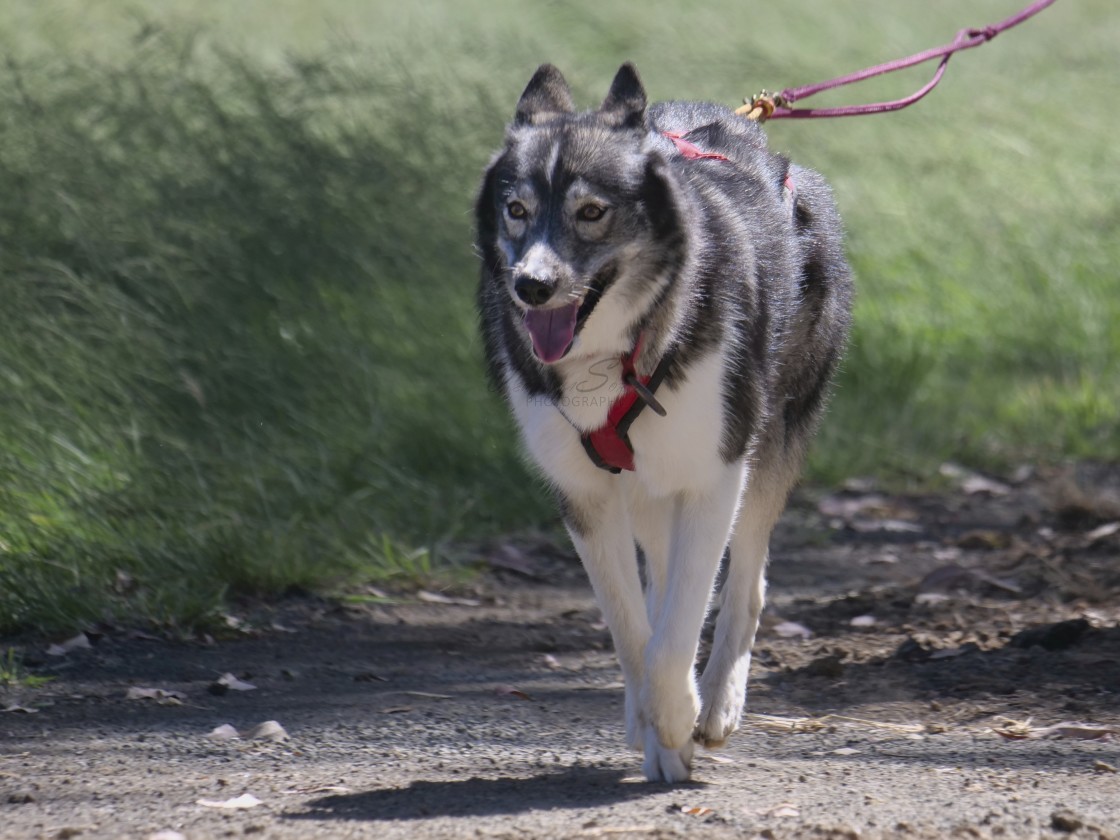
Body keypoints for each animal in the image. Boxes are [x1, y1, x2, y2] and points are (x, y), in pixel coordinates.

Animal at [472, 64, 846, 784]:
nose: (531, 286)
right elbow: (631, 625)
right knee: (661, 579)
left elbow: (682, 621)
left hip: (768, 443)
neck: (612, 356)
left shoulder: (715, 474)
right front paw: (654, 723)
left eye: (592, 212)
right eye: (517, 210)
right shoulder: (584, 494)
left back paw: (717, 701)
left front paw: (677, 714)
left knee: (742, 582)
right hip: (644, 484)